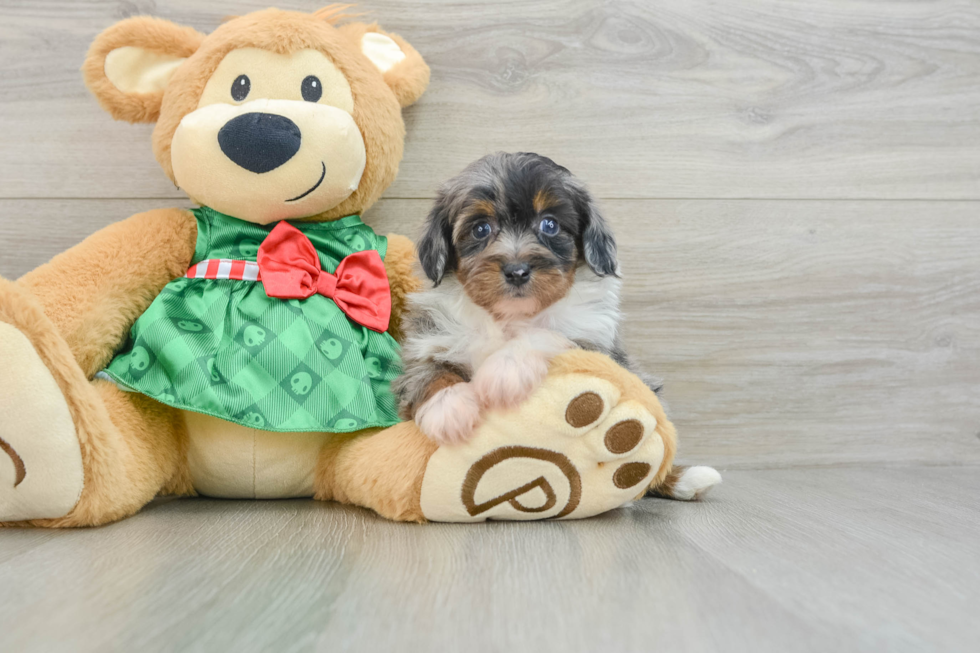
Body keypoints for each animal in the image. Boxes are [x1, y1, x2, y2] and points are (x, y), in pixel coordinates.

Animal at [394, 153, 724, 500]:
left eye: (550, 224)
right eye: (481, 228)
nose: (517, 271)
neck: (511, 317)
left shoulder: (594, 344)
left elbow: (546, 334)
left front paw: (505, 371)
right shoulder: (428, 342)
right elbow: (428, 373)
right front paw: (449, 408)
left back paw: (687, 478)